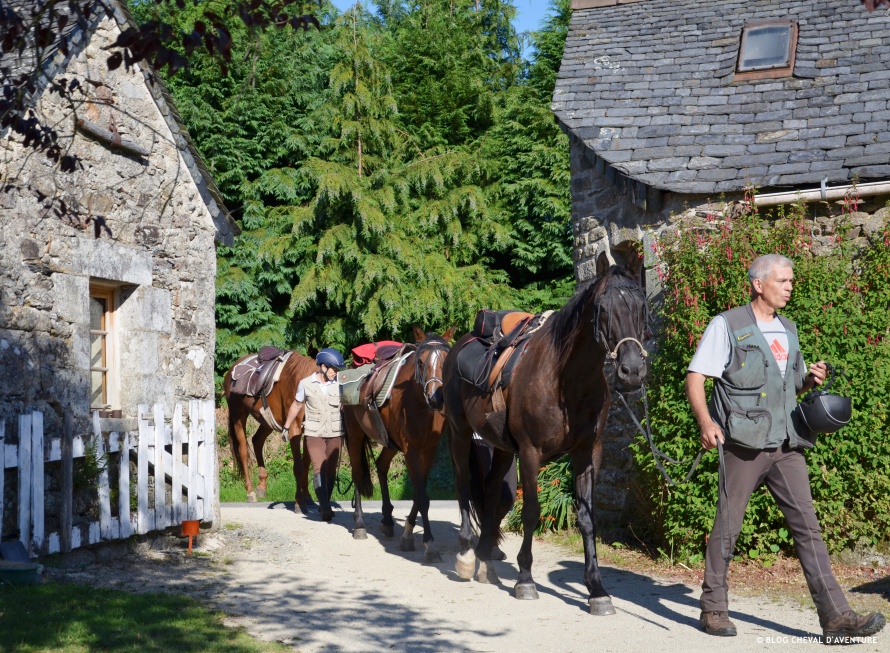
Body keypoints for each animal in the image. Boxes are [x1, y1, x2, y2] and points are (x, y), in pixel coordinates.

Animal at [224, 352, 318, 504]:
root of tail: (232, 370)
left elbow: (306, 462)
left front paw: (307, 495)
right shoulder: (294, 428)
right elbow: (298, 465)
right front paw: (300, 499)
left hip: (266, 421)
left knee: (257, 441)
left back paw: (262, 485)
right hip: (238, 415)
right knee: (243, 450)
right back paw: (250, 491)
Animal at [344, 324, 454, 560]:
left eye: (446, 361)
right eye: (420, 362)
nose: (436, 398)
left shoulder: (428, 450)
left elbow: (419, 495)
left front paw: (408, 534)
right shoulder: (411, 450)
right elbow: (422, 497)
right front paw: (429, 544)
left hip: (390, 442)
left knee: (381, 465)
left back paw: (387, 520)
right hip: (355, 435)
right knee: (357, 473)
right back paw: (359, 524)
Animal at [442, 252, 644, 612]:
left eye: (640, 305)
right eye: (602, 308)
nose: (632, 371)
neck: (566, 380)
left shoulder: (588, 453)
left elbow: (587, 518)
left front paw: (596, 589)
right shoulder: (530, 453)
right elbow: (531, 512)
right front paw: (525, 579)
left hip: (501, 448)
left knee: (490, 493)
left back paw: (485, 560)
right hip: (460, 433)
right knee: (464, 483)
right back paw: (466, 554)